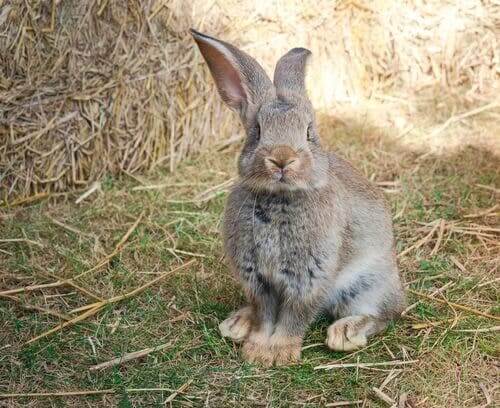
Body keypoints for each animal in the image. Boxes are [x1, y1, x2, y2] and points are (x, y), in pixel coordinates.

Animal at [191, 29, 406, 366]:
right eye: (256, 131)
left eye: (308, 132)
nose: (282, 159)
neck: (280, 198)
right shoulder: (257, 279)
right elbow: (265, 314)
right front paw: (257, 350)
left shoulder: (309, 277)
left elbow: (294, 317)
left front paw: (279, 353)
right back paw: (236, 324)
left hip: (369, 284)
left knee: (384, 313)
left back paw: (345, 334)